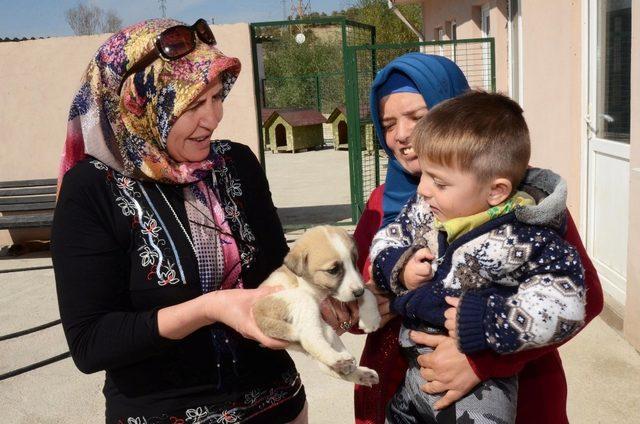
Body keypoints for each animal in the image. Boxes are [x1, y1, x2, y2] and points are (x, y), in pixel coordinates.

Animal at [251, 227, 380, 386]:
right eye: (333, 270)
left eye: (355, 262)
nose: (358, 292)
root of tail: (257, 312)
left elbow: (369, 293)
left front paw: (371, 319)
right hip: (302, 303)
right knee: (310, 339)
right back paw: (338, 358)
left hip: (326, 329)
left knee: (328, 367)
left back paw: (358, 372)